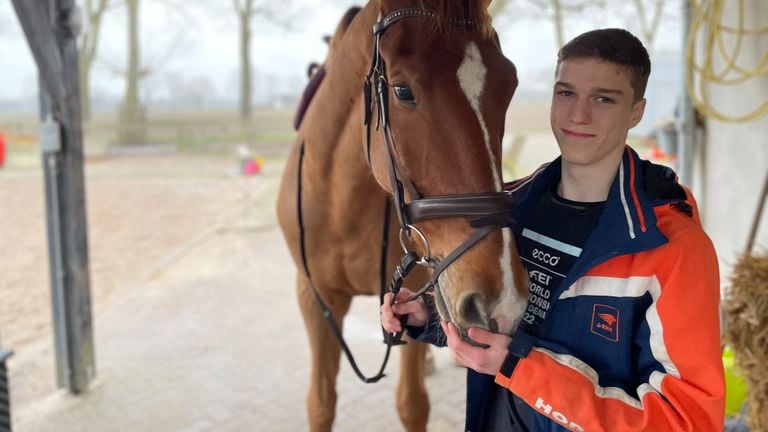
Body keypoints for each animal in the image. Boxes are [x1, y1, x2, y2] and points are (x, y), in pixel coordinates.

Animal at [280, 1, 532, 430]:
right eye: (402, 91)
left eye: (509, 86)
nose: (503, 300)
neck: (343, 203)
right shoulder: (315, 300)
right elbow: (321, 403)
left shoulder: (415, 283)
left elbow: (412, 403)